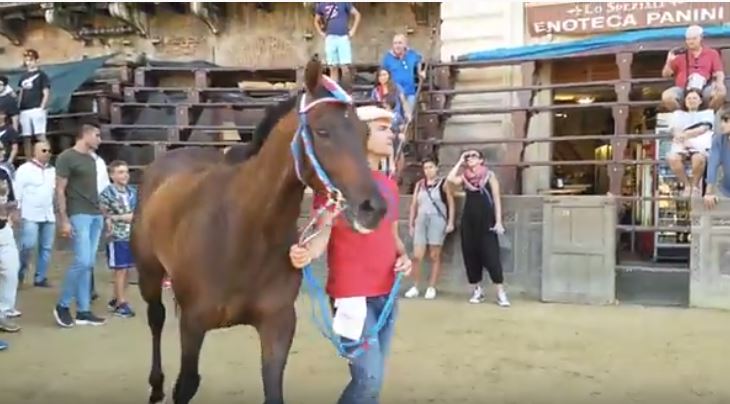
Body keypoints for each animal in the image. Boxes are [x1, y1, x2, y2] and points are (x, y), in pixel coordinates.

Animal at [131, 55, 389, 404]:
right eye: (322, 130)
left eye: (363, 132)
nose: (373, 208)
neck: (243, 233)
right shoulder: (193, 324)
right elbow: (185, 384)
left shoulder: (277, 325)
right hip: (148, 274)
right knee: (155, 319)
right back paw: (155, 384)